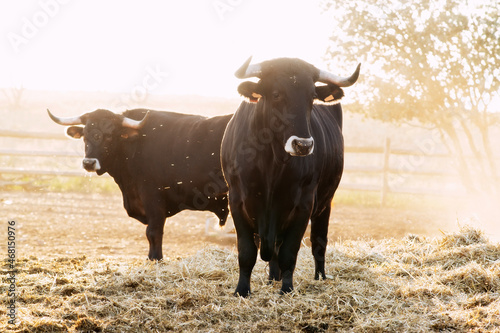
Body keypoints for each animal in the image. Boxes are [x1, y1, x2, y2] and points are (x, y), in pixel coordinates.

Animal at [47, 109, 231, 260]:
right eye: (85, 135)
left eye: (109, 135)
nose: (89, 163)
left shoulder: (153, 200)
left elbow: (153, 232)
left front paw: (155, 259)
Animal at [221, 57, 358, 296]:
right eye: (276, 94)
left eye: (312, 96)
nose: (303, 145)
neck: (271, 164)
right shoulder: (236, 200)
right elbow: (246, 252)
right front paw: (242, 290)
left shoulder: (304, 204)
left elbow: (289, 252)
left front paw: (286, 289)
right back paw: (271, 278)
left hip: (326, 203)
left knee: (318, 242)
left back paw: (319, 277)